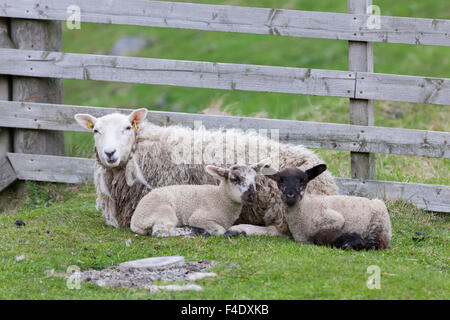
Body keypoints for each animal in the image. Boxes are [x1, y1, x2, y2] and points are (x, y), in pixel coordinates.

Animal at [130, 159, 270, 236]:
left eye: (254, 178)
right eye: (234, 178)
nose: (252, 196)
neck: (220, 198)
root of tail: (135, 221)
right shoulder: (199, 217)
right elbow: (220, 230)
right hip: (163, 211)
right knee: (159, 231)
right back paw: (194, 231)